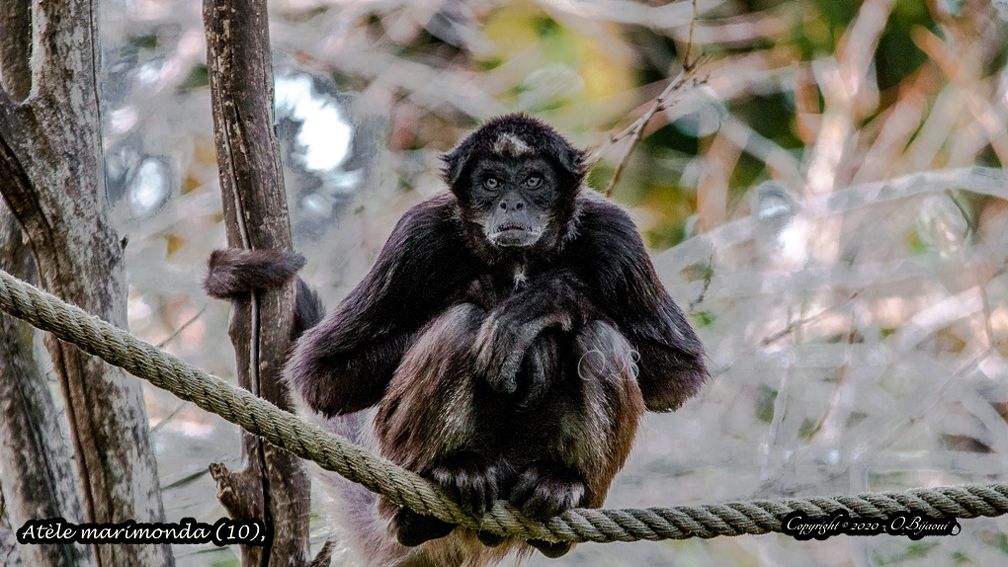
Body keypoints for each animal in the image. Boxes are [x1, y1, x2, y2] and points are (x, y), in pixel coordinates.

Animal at [204, 113, 709, 560]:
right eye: (491, 182)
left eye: (533, 180)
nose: (511, 204)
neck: (518, 261)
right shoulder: (418, 232)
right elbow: (322, 378)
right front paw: (492, 296)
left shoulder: (614, 232)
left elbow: (678, 376)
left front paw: (542, 304)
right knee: (462, 323)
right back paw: (442, 488)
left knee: (599, 338)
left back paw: (559, 483)